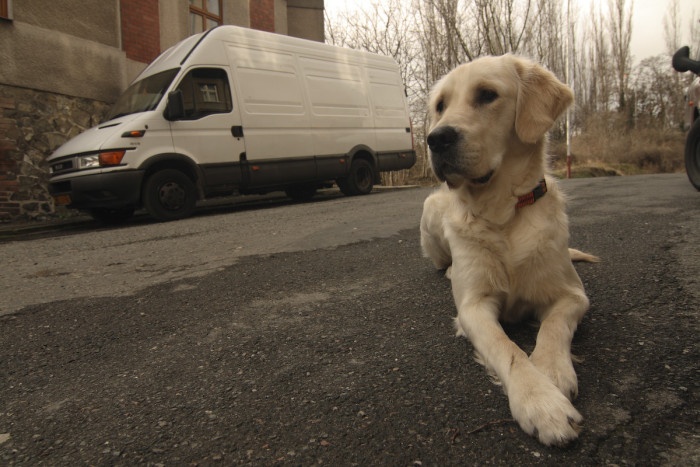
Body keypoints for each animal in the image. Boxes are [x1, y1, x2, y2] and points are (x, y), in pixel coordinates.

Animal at [418, 54, 600, 446]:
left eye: (487, 95)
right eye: (440, 105)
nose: (436, 139)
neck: (502, 213)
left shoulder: (573, 294)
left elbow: (554, 325)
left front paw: (551, 370)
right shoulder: (473, 307)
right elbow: (509, 349)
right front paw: (541, 402)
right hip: (430, 210)